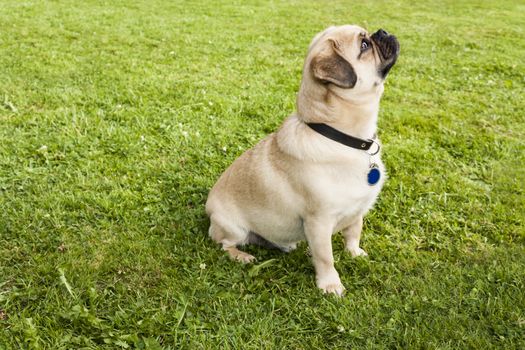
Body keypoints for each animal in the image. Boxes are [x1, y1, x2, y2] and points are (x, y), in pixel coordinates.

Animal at [204, 25, 398, 296]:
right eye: (364, 46)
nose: (383, 31)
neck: (342, 138)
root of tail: (209, 209)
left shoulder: (357, 211)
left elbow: (353, 232)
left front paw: (354, 253)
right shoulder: (319, 223)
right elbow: (326, 257)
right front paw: (330, 285)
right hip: (233, 227)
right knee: (224, 244)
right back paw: (242, 256)